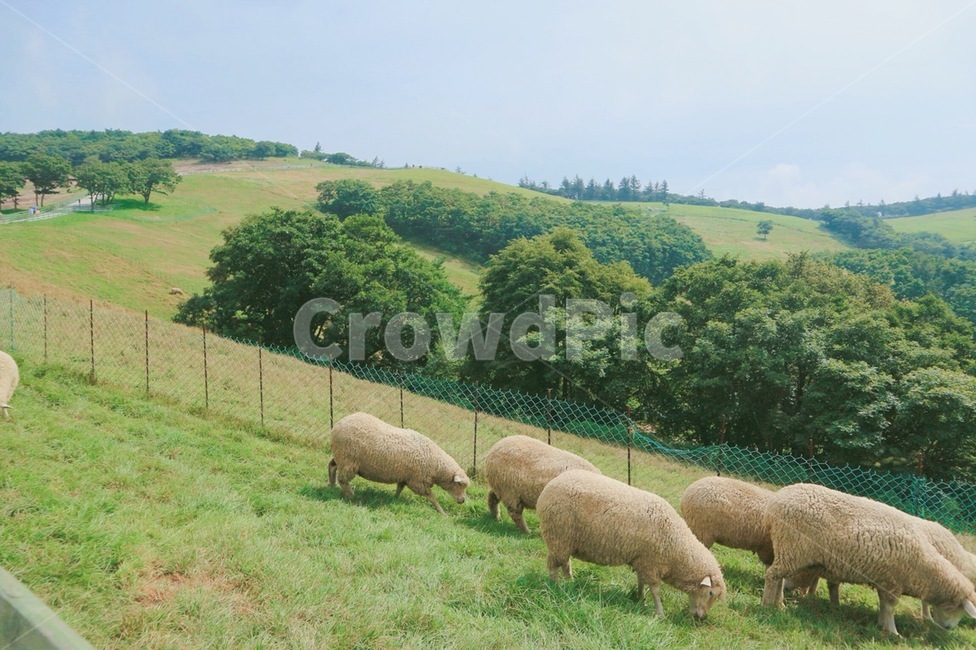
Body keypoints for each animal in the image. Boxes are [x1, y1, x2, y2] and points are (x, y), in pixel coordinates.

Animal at [327, 411, 470, 514]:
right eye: (459, 484)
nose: (462, 500)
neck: (437, 465)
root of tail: (339, 423)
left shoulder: (406, 477)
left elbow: (399, 488)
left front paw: (394, 499)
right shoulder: (417, 481)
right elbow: (431, 496)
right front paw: (441, 512)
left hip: (341, 457)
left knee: (331, 466)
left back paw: (331, 485)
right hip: (348, 460)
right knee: (343, 480)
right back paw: (352, 495)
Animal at [537, 469, 726, 619]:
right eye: (710, 593)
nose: (703, 617)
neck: (677, 547)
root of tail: (553, 483)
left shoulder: (642, 560)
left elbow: (640, 581)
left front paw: (639, 598)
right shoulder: (651, 563)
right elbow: (655, 590)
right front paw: (660, 613)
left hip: (566, 539)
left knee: (564, 563)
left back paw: (570, 582)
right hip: (558, 534)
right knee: (553, 564)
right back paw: (555, 585)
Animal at [761, 482, 976, 636]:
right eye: (960, 608)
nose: (948, 629)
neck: (924, 567)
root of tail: (777, 499)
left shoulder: (884, 580)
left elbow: (883, 605)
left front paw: (882, 624)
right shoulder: (893, 583)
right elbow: (890, 607)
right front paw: (893, 632)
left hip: (788, 550)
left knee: (779, 577)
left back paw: (780, 604)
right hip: (793, 548)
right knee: (772, 575)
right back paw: (767, 605)